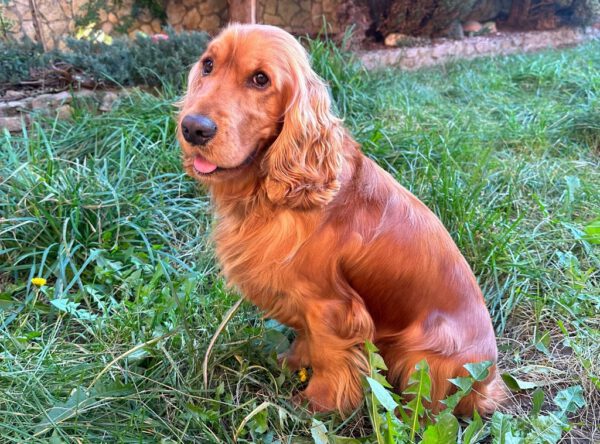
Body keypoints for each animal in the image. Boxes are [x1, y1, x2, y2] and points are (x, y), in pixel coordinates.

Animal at [178, 23, 506, 412]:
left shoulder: (333, 307)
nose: (193, 128)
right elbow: (307, 339)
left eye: (260, 79)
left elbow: (330, 357)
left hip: (425, 355)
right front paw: (292, 362)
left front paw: (319, 403)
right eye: (208, 65)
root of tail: (490, 382)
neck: (273, 194)